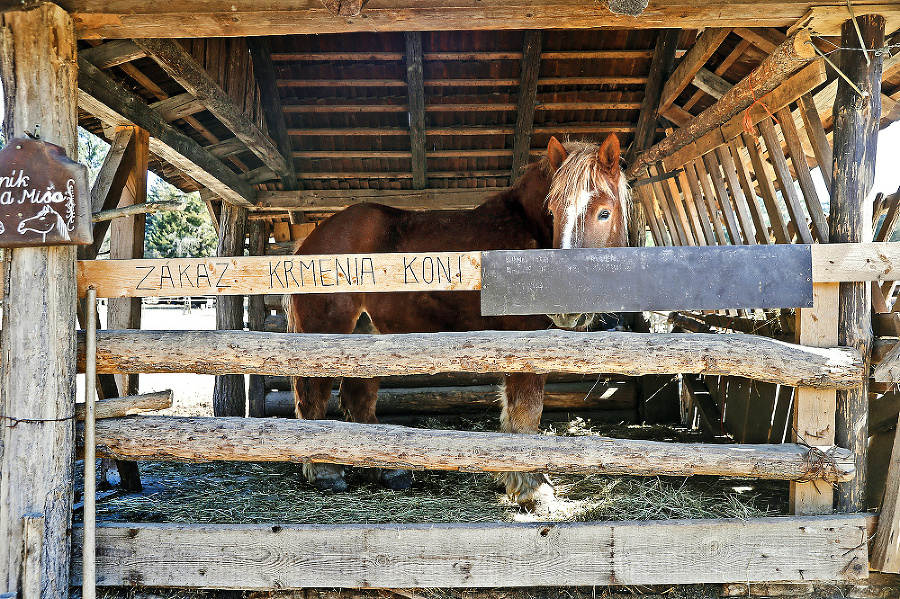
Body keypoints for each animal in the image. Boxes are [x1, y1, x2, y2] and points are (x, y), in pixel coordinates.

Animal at [292, 134, 628, 508]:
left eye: (604, 212)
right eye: (553, 212)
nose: (564, 301)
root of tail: (309, 241)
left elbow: (514, 415)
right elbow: (526, 414)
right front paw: (532, 489)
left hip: (365, 337)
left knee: (357, 398)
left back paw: (387, 472)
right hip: (326, 335)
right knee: (313, 398)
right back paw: (326, 472)